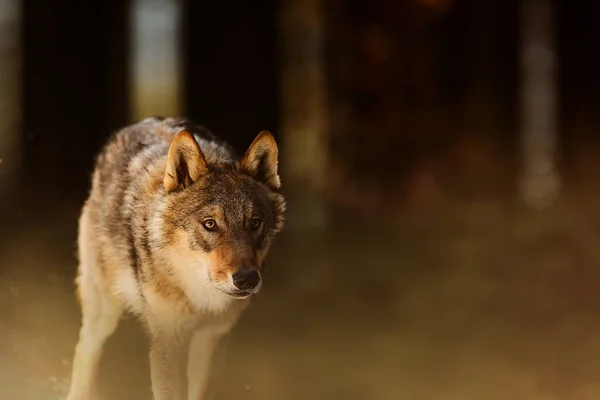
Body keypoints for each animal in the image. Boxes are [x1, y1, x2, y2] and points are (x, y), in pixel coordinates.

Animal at [67, 116, 288, 400]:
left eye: (255, 223)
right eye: (209, 224)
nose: (247, 279)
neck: (201, 297)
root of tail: (141, 121)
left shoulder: (212, 338)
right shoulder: (168, 342)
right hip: (104, 313)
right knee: (84, 350)